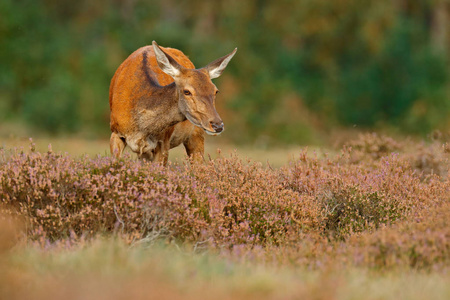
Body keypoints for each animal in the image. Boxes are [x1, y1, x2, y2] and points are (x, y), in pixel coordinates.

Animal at [108, 40, 237, 164]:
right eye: (187, 91)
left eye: (216, 91)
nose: (218, 125)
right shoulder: (115, 132)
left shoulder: (164, 140)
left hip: (196, 133)